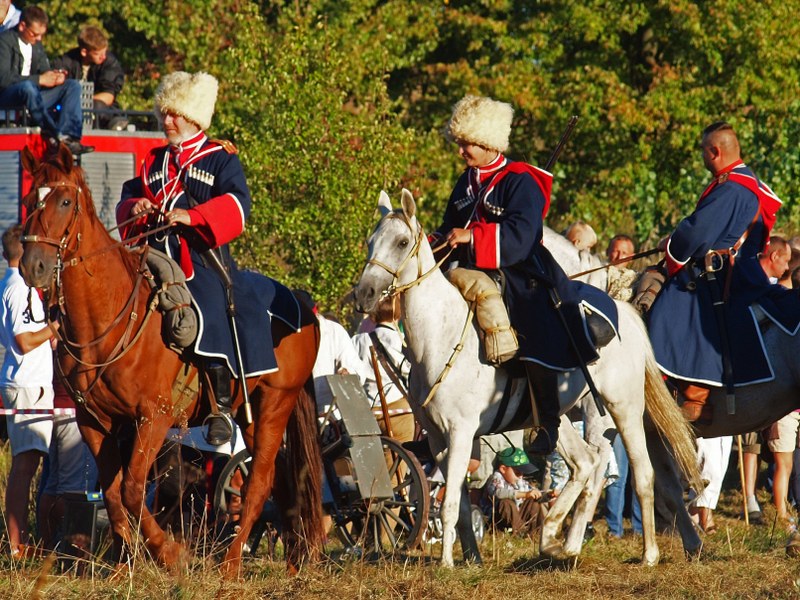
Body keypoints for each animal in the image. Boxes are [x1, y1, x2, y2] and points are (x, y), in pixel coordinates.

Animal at [18, 144, 324, 576]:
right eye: (31, 200)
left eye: (64, 201)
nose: (33, 266)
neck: (108, 318)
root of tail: (299, 302)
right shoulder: (94, 421)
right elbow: (113, 492)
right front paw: (125, 564)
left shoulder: (154, 416)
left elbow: (132, 489)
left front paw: (169, 553)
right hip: (252, 415)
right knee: (281, 481)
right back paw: (294, 560)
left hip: (274, 405)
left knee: (259, 483)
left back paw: (231, 565)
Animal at [353, 189, 700, 567]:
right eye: (371, 241)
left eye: (402, 242)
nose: (364, 295)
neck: (441, 335)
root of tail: (624, 311)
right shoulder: (437, 439)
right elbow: (461, 506)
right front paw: (472, 559)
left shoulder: (460, 433)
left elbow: (448, 505)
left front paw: (445, 564)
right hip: (558, 417)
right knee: (585, 464)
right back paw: (555, 541)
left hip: (623, 409)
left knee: (641, 472)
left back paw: (648, 553)